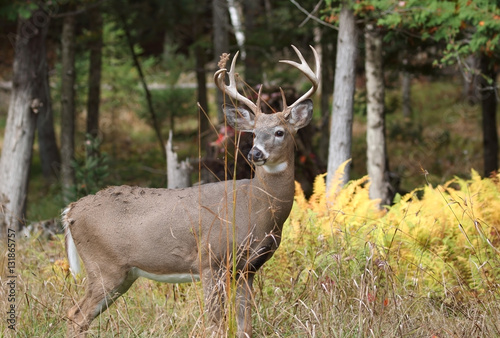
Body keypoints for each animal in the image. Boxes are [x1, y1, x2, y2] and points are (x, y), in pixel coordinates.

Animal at [64, 45, 318, 338]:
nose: (255, 153)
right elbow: (216, 325)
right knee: (75, 315)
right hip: (104, 267)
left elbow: (245, 325)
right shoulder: (210, 259)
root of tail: (71, 210)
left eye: (279, 132)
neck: (256, 208)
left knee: (77, 315)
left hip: (123, 274)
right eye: (253, 134)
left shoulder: (248, 269)